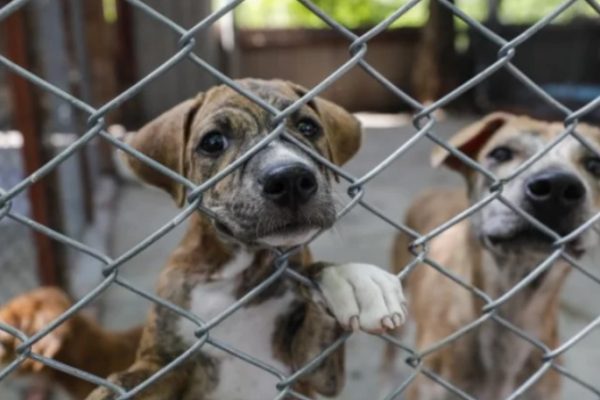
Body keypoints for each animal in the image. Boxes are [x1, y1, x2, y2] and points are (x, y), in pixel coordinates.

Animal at [1, 79, 408, 400]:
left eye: (308, 128)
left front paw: (355, 281)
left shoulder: (314, 373)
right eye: (213, 142)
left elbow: (316, 285)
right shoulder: (163, 364)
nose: (291, 178)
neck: (241, 275)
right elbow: (126, 380)